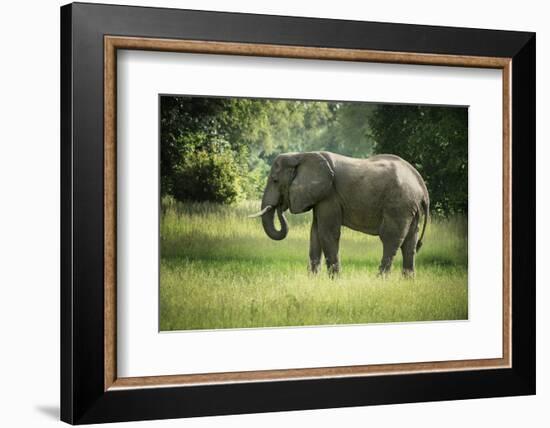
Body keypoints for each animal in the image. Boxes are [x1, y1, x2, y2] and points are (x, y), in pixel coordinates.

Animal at [249, 151, 432, 278]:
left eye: (275, 180)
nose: (280, 206)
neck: (300, 155)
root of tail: (421, 186)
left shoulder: (330, 196)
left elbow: (327, 233)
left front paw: (334, 281)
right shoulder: (320, 197)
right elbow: (315, 233)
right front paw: (312, 280)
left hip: (399, 205)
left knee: (390, 239)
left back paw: (380, 280)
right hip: (411, 209)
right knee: (410, 244)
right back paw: (408, 281)